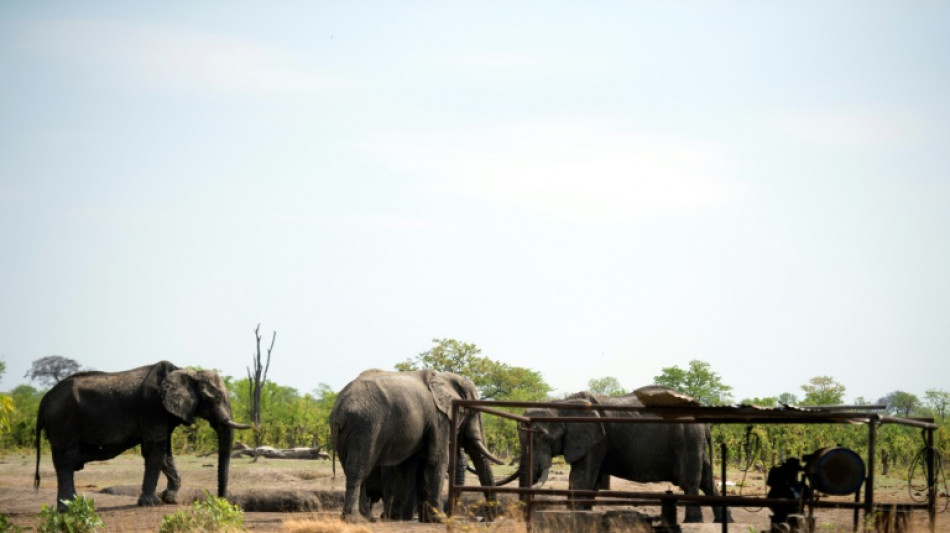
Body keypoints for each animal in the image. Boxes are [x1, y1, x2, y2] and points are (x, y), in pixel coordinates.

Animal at [34, 362, 249, 512]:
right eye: (216, 398)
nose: (220, 501)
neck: (186, 372)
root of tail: (44, 400)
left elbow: (164, 454)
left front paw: (170, 499)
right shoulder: (153, 407)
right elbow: (155, 450)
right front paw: (152, 503)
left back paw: (74, 506)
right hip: (63, 422)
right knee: (65, 462)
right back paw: (68, 508)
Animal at [332, 368, 510, 520]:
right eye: (471, 412)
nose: (487, 518)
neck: (445, 377)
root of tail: (340, 408)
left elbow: (412, 467)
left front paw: (409, 518)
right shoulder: (439, 419)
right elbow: (437, 460)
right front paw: (439, 519)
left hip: (348, 431)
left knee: (354, 468)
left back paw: (368, 518)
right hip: (365, 426)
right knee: (359, 468)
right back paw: (356, 519)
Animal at [516, 388, 732, 520]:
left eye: (542, 436)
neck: (563, 403)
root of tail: (704, 422)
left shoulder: (595, 440)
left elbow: (580, 479)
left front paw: (573, 518)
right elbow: (590, 483)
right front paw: (583, 517)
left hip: (688, 439)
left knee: (690, 481)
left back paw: (692, 521)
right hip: (693, 440)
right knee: (707, 479)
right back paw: (724, 521)